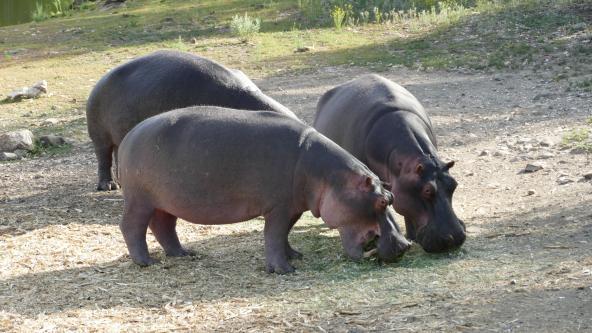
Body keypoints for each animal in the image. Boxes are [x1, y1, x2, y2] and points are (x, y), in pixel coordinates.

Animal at [85, 48, 298, 191]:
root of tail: (100, 80)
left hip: (120, 135)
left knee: (117, 154)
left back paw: (121, 183)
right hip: (99, 135)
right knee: (103, 158)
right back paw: (108, 186)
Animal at [117, 105, 412, 272]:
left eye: (391, 196)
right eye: (381, 202)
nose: (404, 245)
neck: (329, 176)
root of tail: (128, 136)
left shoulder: (293, 207)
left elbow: (284, 235)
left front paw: (295, 255)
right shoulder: (278, 207)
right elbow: (274, 234)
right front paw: (285, 269)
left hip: (166, 201)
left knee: (163, 225)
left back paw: (183, 253)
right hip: (140, 199)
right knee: (132, 226)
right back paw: (146, 263)